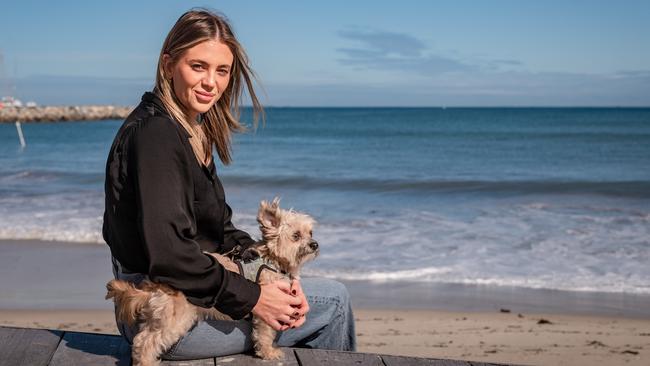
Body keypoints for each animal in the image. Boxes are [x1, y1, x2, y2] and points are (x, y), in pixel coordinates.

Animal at [105, 199, 318, 364]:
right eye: (296, 236)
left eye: (311, 233)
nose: (315, 244)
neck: (272, 260)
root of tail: (156, 284)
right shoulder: (268, 313)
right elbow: (265, 335)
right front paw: (269, 353)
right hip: (174, 321)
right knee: (145, 342)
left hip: (158, 318)